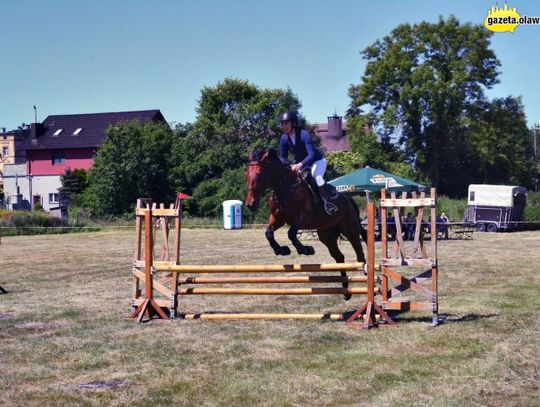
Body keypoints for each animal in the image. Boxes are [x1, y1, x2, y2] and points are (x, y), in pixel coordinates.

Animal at [245, 149, 368, 300]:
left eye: (260, 172)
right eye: (246, 173)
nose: (250, 205)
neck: (285, 188)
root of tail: (349, 200)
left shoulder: (304, 217)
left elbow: (291, 233)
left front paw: (305, 249)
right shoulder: (278, 219)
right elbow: (269, 233)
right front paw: (281, 250)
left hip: (350, 230)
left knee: (360, 255)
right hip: (327, 236)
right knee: (339, 257)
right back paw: (345, 291)